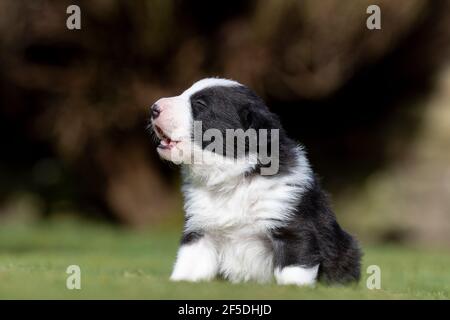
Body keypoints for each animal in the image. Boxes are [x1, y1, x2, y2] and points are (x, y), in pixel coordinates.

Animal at [149, 77, 360, 284]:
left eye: (200, 104)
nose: (153, 108)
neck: (233, 178)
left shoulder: (293, 228)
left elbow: (292, 273)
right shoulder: (201, 229)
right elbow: (188, 266)